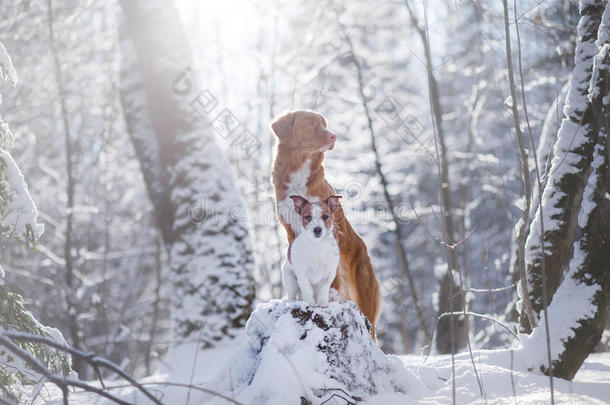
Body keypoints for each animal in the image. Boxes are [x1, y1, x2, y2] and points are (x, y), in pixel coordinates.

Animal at [270, 109, 380, 336]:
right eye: (310, 124)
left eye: (324, 124)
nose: (333, 137)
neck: (300, 166)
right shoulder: (290, 229)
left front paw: (328, 295)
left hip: (366, 294)